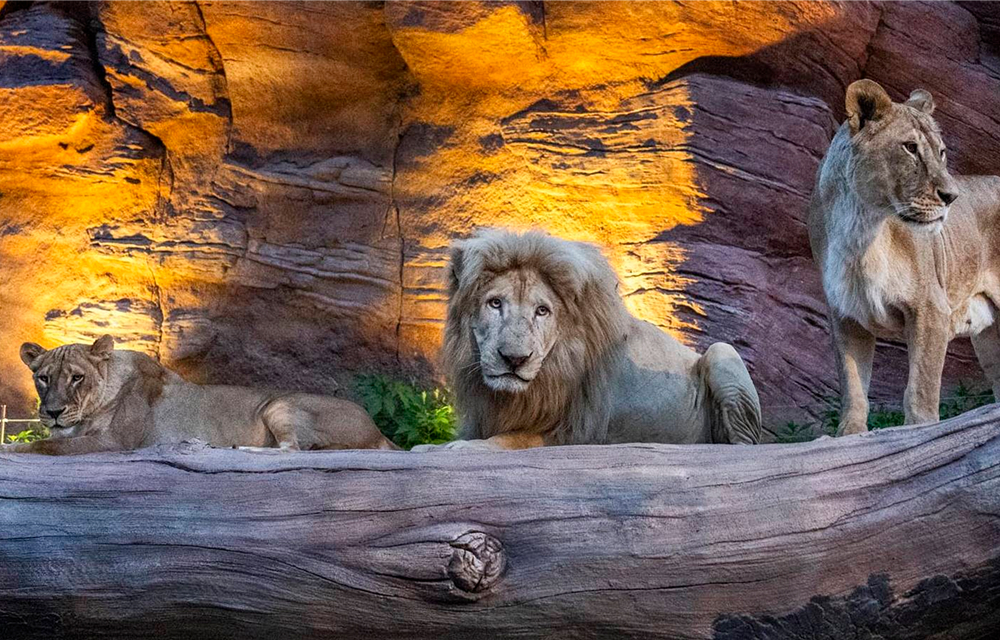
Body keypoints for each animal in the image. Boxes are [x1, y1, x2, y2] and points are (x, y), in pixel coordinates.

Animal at [3, 335, 397, 455]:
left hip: (280, 403)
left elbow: (44, 446)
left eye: (76, 378)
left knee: (292, 450)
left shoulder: (116, 442)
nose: (53, 412)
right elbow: (49, 440)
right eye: (43, 378)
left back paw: (241, 448)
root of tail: (379, 431)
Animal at [412, 228, 762, 452]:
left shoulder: (574, 431)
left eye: (542, 311)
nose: (514, 359)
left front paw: (457, 448)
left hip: (721, 352)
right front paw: (431, 447)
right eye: (495, 303)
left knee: (745, 447)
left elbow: (508, 439)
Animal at [809, 79, 1000, 436]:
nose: (952, 196)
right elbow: (853, 387)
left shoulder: (931, 308)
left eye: (941, 152)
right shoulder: (845, 314)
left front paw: (920, 433)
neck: (862, 227)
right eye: (910, 147)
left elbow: (920, 389)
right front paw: (849, 436)